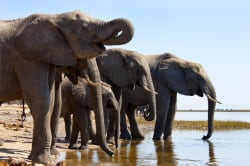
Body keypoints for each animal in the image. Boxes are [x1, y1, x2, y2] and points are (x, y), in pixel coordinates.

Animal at [0, 10, 135, 165]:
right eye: (85, 27)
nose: (113, 153)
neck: (54, 17)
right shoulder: (28, 58)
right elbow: (41, 101)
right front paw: (45, 160)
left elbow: (51, 101)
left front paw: (38, 158)